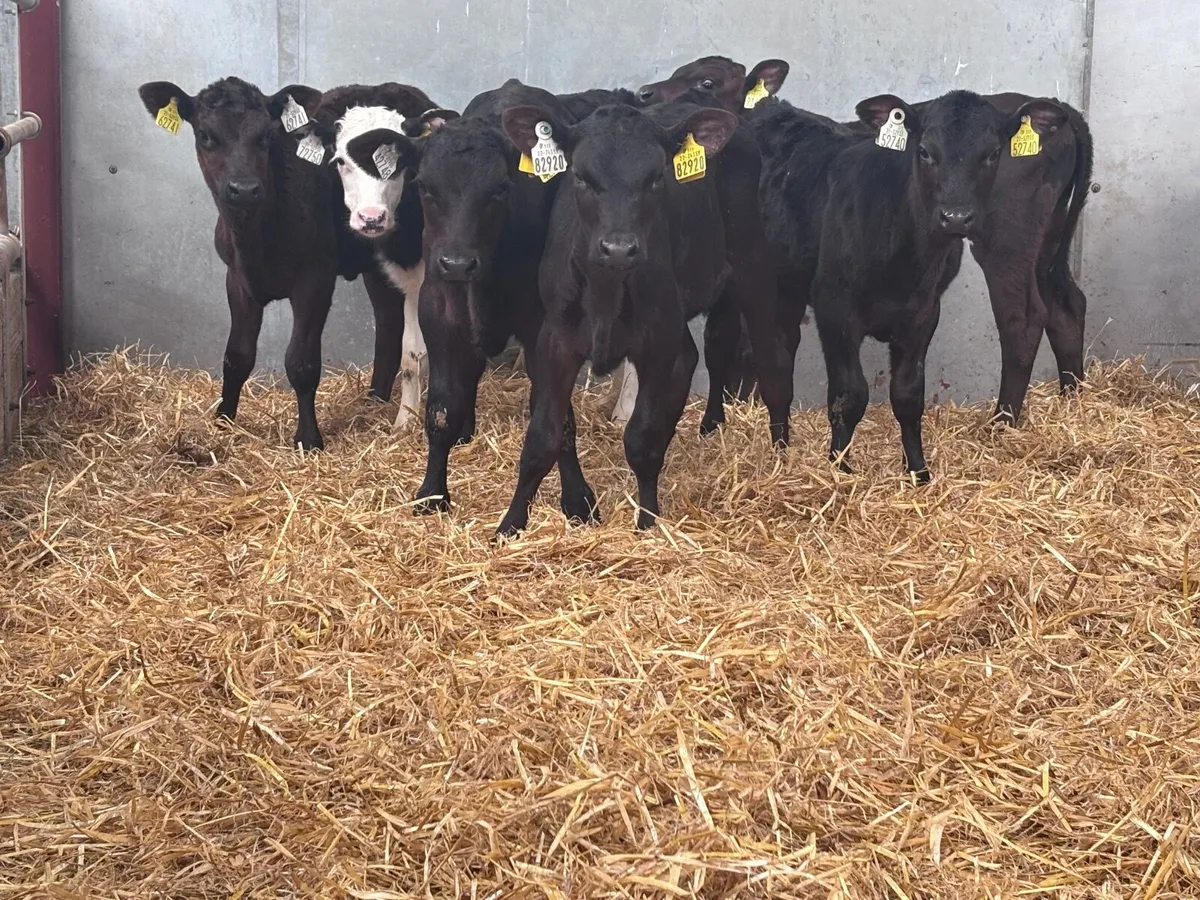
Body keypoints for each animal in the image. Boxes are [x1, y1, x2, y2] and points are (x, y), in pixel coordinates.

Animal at [138, 76, 343, 451]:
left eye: (265, 136)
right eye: (205, 134)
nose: (244, 189)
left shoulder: (316, 277)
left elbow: (301, 361)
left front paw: (308, 439)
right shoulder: (237, 279)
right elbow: (237, 355)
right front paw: (223, 419)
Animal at [310, 83, 439, 429]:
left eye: (400, 163)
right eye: (340, 161)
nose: (371, 218)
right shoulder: (399, 279)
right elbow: (409, 353)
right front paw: (405, 419)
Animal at [492, 100, 766, 536]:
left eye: (656, 179)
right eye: (581, 176)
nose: (619, 248)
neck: (605, 293)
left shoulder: (656, 343)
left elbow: (641, 438)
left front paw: (648, 521)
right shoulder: (554, 340)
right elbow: (543, 437)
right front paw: (511, 525)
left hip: (749, 263)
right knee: (691, 355)